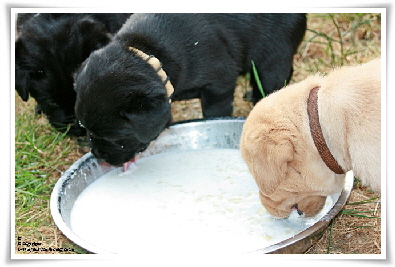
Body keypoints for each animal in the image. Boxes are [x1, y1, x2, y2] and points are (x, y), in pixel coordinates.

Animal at [74, 13, 308, 168]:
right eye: (84, 128)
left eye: (116, 137)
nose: (98, 155)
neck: (146, 53)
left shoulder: (219, 82)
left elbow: (214, 110)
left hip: (273, 55)